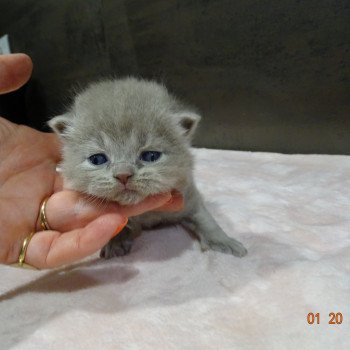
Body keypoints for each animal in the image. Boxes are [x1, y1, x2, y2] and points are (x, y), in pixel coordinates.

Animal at [49, 77, 247, 258]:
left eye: (150, 156)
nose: (123, 174)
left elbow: (204, 218)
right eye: (98, 159)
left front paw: (223, 241)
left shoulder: (188, 195)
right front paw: (116, 241)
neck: (147, 213)